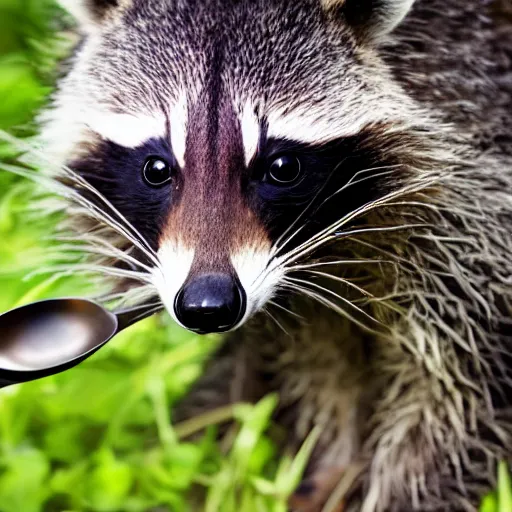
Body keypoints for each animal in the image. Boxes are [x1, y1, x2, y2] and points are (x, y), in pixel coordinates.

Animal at [36, 0, 512, 510]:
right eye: (156, 169)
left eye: (281, 166)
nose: (207, 304)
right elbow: (322, 375)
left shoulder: (474, 208)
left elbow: (460, 398)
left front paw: (402, 491)